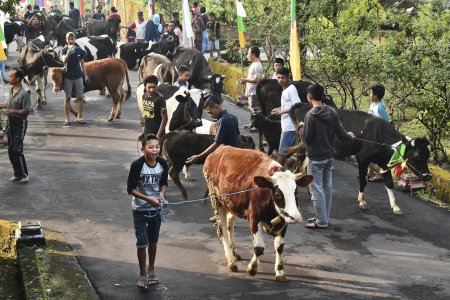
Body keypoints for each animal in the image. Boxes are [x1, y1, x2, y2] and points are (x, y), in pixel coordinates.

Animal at [203, 147, 312, 282]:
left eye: (296, 192)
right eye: (277, 194)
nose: (296, 218)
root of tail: (222, 148)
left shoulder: (284, 219)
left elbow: (280, 246)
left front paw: (280, 271)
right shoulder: (254, 217)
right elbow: (259, 247)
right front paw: (252, 268)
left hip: (232, 203)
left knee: (229, 225)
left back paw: (234, 252)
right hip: (216, 200)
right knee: (221, 229)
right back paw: (231, 262)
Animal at [288, 103, 432, 216]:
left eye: (428, 155)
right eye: (417, 156)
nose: (428, 176)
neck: (380, 138)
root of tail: (303, 106)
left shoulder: (384, 165)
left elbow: (389, 185)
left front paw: (396, 207)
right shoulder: (362, 159)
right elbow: (363, 181)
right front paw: (362, 201)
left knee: (302, 165)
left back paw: (308, 191)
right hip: (304, 146)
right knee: (292, 160)